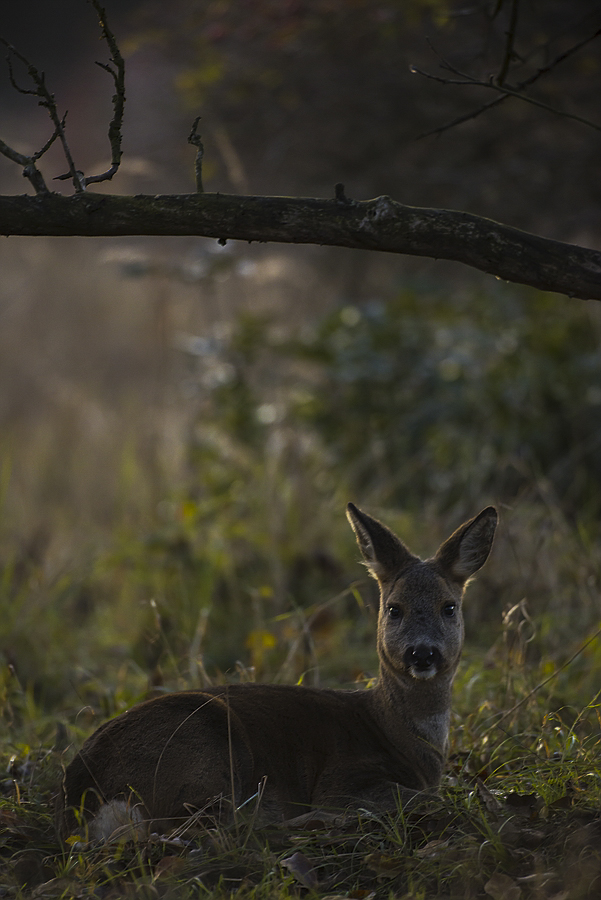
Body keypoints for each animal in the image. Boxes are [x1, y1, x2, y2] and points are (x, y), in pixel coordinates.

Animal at [57, 502, 496, 840]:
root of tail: (83, 794)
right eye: (394, 609)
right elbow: (427, 798)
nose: (422, 653)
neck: (401, 736)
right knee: (207, 827)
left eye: (449, 607)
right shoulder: (342, 779)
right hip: (204, 751)